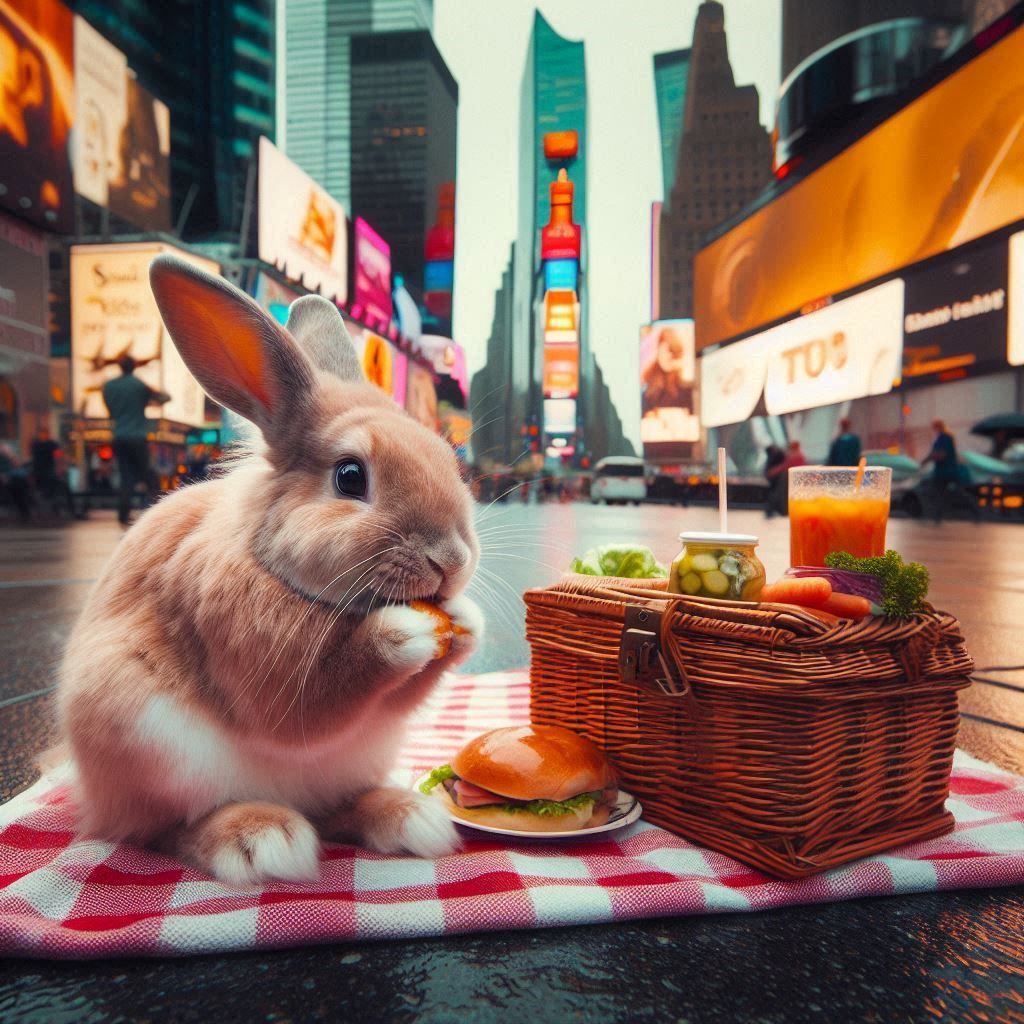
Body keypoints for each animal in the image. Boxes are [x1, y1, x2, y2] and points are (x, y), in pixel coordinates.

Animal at [56, 251, 483, 884]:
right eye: (350, 477)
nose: (451, 560)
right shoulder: (257, 651)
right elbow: (317, 694)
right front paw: (403, 631)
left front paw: (467, 620)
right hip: (149, 747)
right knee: (163, 830)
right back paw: (261, 838)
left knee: (334, 808)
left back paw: (409, 817)